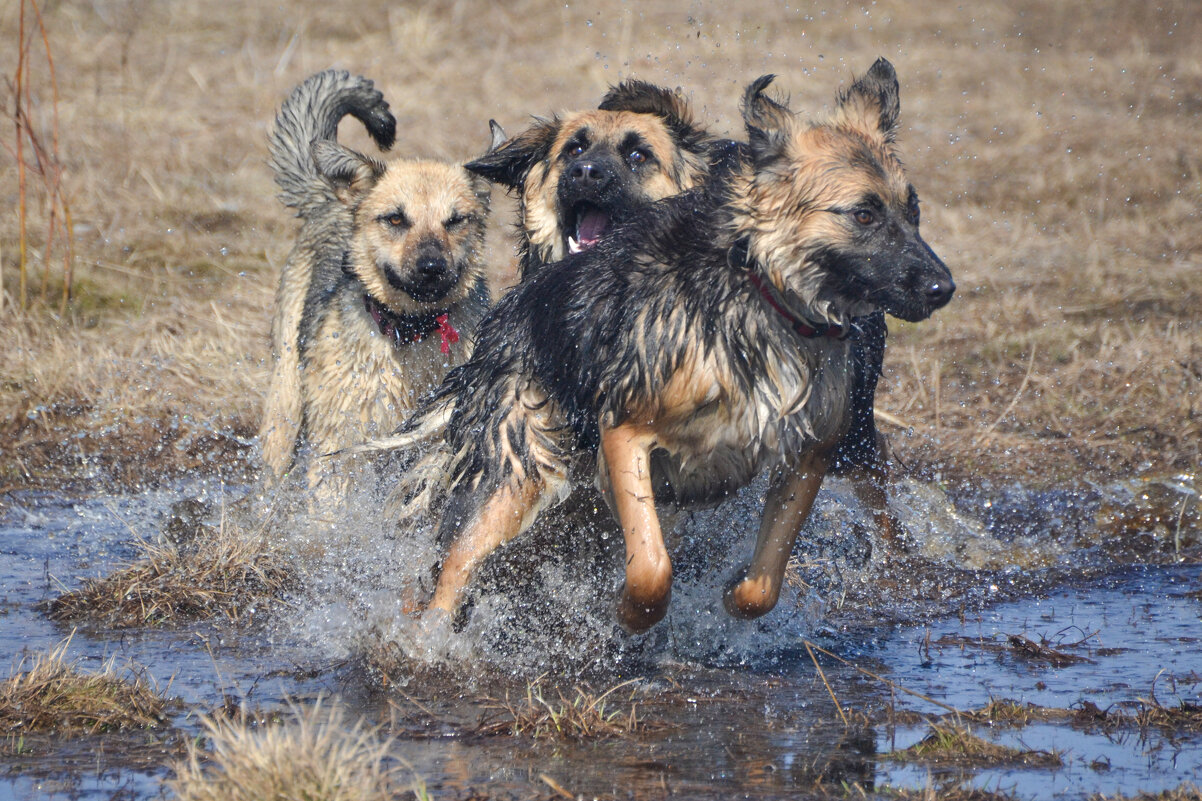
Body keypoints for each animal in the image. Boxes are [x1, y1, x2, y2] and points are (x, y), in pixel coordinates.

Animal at [360, 57, 951, 630]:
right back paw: (426, 637)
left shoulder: (810, 454)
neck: (767, 303)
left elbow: (761, 585)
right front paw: (627, 611)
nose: (942, 286)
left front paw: (731, 596)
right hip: (518, 472)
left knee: (880, 484)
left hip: (855, 438)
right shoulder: (625, 431)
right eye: (863, 213)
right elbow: (649, 567)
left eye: (913, 211)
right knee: (456, 565)